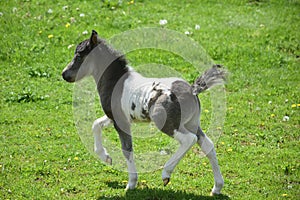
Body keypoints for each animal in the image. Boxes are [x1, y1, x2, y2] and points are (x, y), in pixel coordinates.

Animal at [62, 30, 225, 195]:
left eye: (79, 55)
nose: (64, 74)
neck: (116, 81)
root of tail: (192, 90)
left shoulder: (121, 122)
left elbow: (127, 149)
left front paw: (131, 183)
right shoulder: (116, 117)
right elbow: (96, 125)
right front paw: (106, 157)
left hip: (165, 122)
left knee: (189, 139)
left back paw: (166, 174)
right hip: (191, 123)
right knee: (207, 145)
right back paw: (217, 187)